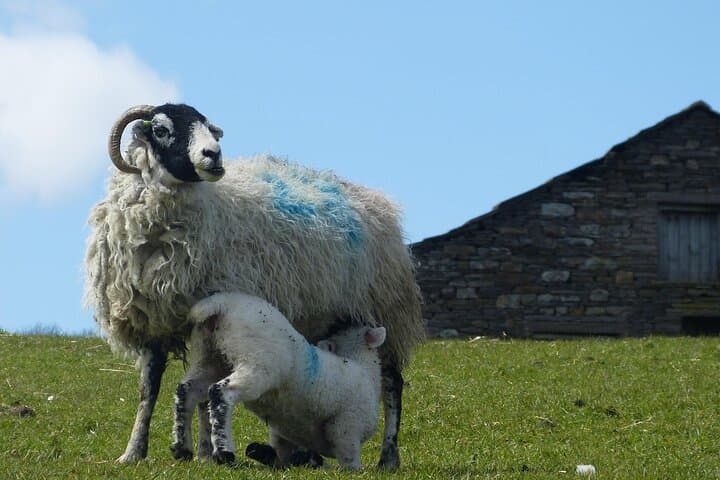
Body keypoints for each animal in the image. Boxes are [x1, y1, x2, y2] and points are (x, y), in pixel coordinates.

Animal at [171, 291, 386, 470]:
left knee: (186, 392)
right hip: (257, 364)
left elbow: (284, 454)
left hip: (209, 357)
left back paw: (181, 448)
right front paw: (353, 471)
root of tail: (218, 305)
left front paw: (268, 456)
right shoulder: (346, 426)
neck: (361, 366)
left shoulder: (283, 434)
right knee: (220, 393)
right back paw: (224, 452)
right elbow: (347, 458)